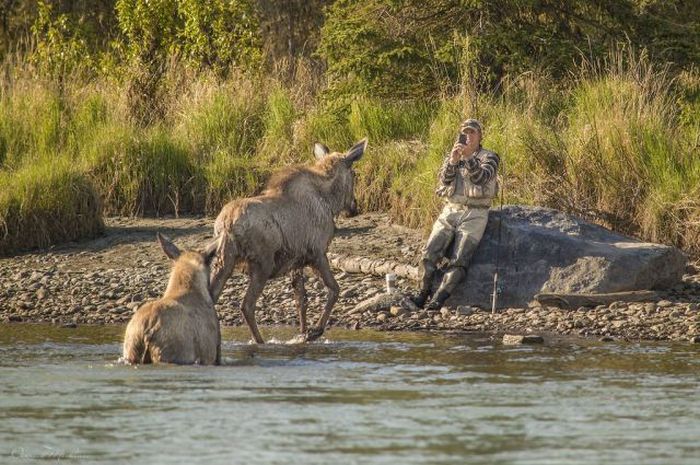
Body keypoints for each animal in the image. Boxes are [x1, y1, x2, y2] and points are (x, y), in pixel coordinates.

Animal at [211, 138, 370, 340]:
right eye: (354, 174)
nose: (354, 207)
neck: (329, 201)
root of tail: (227, 223)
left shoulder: (297, 260)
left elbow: (301, 300)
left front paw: (302, 334)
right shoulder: (318, 253)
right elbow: (334, 289)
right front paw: (315, 331)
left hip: (224, 260)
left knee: (211, 297)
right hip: (262, 264)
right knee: (247, 305)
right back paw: (259, 341)